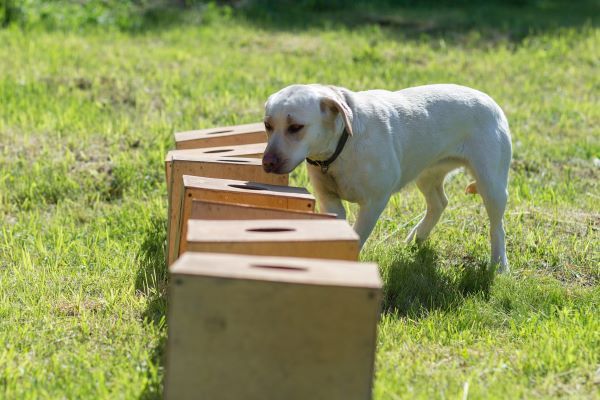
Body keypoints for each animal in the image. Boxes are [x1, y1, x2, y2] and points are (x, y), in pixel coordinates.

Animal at [262, 84, 510, 272]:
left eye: (296, 127)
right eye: (267, 125)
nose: (267, 163)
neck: (342, 145)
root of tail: (490, 101)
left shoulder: (374, 203)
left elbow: (357, 235)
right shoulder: (329, 199)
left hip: (492, 185)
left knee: (497, 227)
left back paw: (499, 266)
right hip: (427, 174)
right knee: (438, 203)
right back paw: (417, 238)